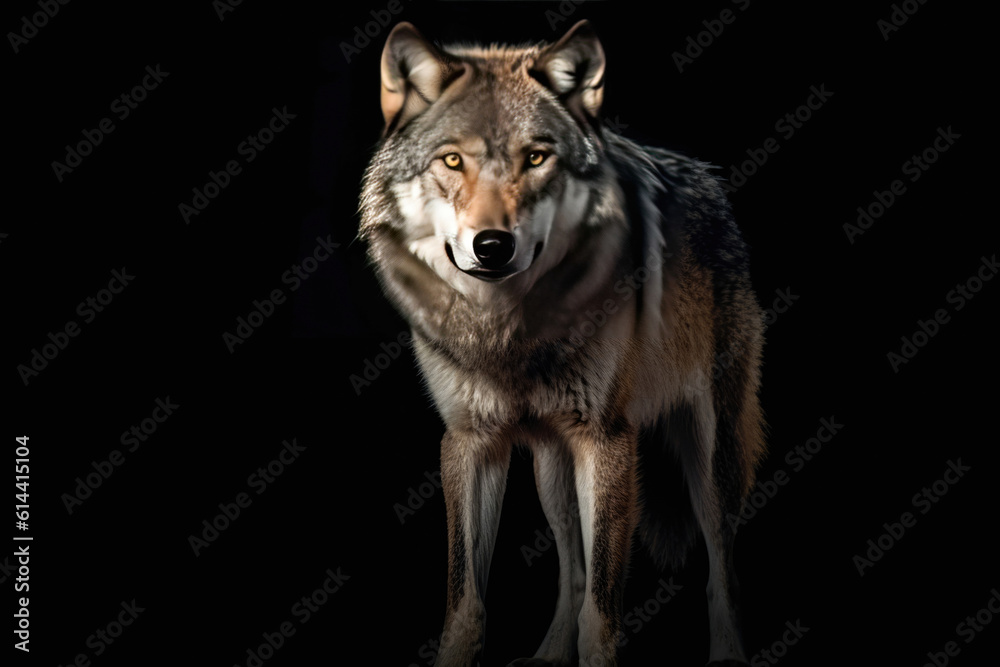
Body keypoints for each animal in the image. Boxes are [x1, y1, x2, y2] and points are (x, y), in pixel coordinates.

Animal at [359, 19, 766, 667]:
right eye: (452, 160)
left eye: (536, 157)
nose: (492, 245)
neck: (510, 335)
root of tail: (710, 183)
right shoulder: (470, 442)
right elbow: (466, 600)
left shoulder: (607, 441)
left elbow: (602, 611)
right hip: (552, 468)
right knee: (570, 571)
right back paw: (549, 654)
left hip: (710, 457)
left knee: (721, 568)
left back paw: (728, 654)